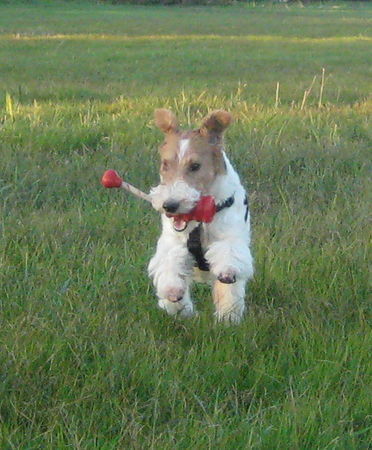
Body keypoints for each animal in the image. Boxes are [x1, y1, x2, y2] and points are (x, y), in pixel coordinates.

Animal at [148, 108, 253, 324]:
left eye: (195, 166)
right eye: (165, 164)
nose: (170, 205)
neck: (198, 221)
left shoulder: (230, 238)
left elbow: (228, 257)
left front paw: (227, 273)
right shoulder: (171, 242)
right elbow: (169, 263)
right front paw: (173, 292)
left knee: (230, 292)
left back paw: (228, 318)